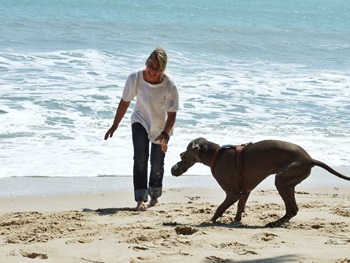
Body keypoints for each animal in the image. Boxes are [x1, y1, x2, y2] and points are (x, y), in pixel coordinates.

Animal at [171, 138, 348, 227]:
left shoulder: (233, 193)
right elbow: (240, 206)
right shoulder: (245, 190)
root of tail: (310, 159)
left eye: (187, 149)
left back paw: (274, 223)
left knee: (292, 209)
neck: (215, 154)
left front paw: (210, 220)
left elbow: (220, 207)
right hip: (287, 182)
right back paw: (278, 222)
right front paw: (236, 220)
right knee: (294, 210)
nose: (179, 154)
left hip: (282, 180)